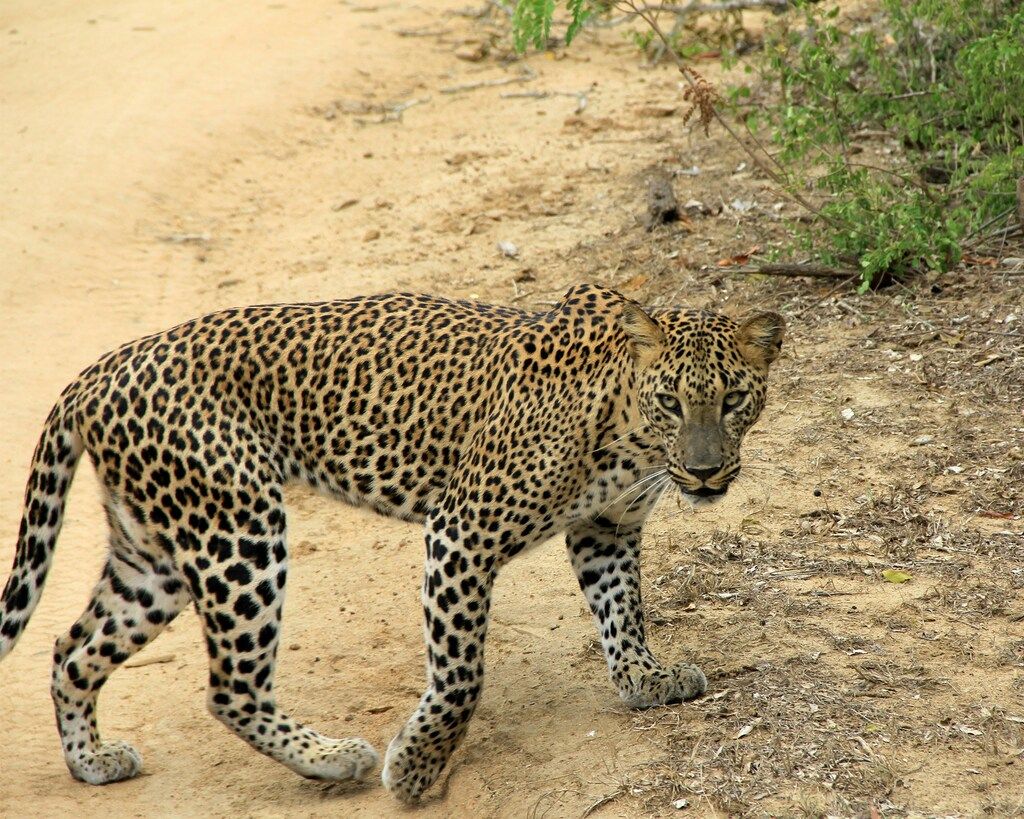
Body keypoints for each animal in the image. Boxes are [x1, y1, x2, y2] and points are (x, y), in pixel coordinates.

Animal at [2, 282, 782, 798]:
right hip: (238, 530)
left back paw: (92, 763)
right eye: (672, 400)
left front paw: (647, 678)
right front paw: (414, 768)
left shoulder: (607, 528)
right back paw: (332, 756)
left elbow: (624, 611)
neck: (630, 434)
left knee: (71, 648)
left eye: (734, 400)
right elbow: (462, 674)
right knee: (229, 687)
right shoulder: (462, 532)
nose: (706, 470)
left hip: (156, 556)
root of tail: (95, 373)